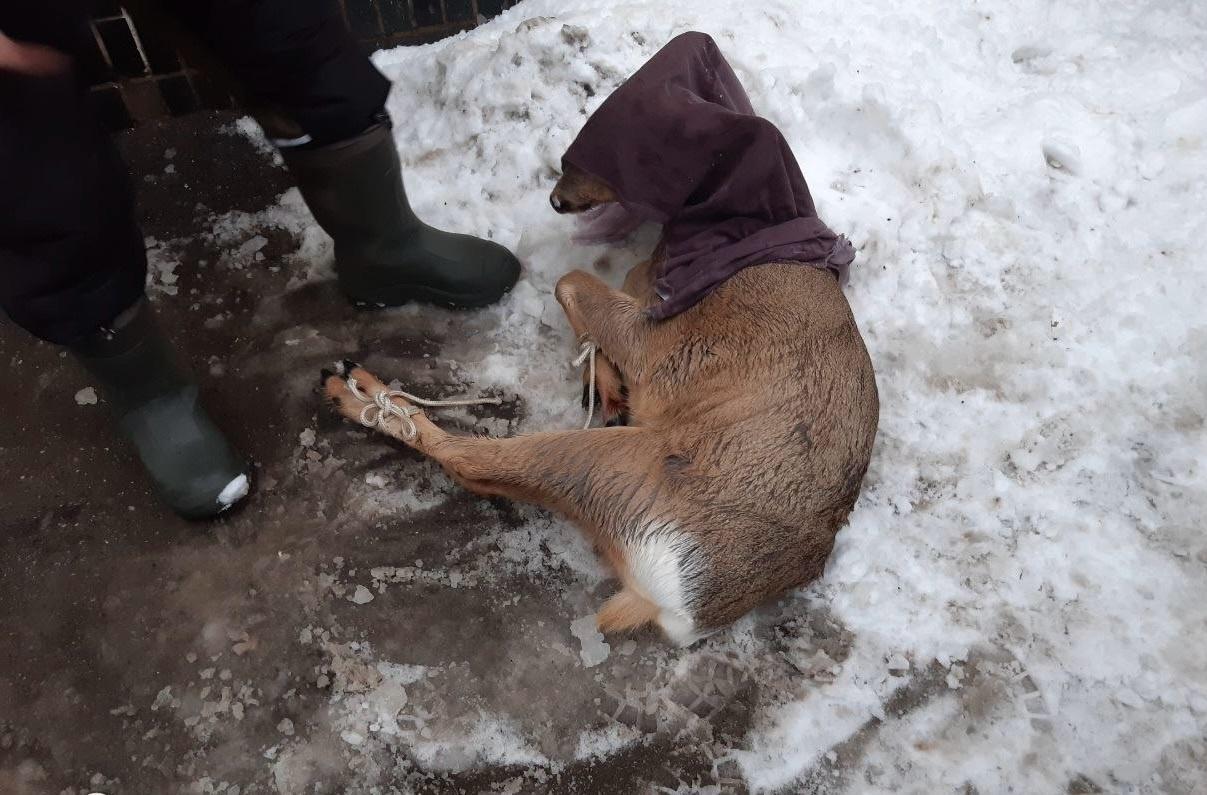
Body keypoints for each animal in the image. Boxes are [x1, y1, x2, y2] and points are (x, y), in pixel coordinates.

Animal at [321, 32, 878, 646]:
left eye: (580, 159)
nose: (556, 201)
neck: (739, 233)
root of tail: (680, 607)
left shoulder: (665, 342)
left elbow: (569, 280)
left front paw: (606, 380)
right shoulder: (643, 291)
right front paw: (604, 382)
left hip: (611, 465)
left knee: (471, 462)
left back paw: (355, 390)